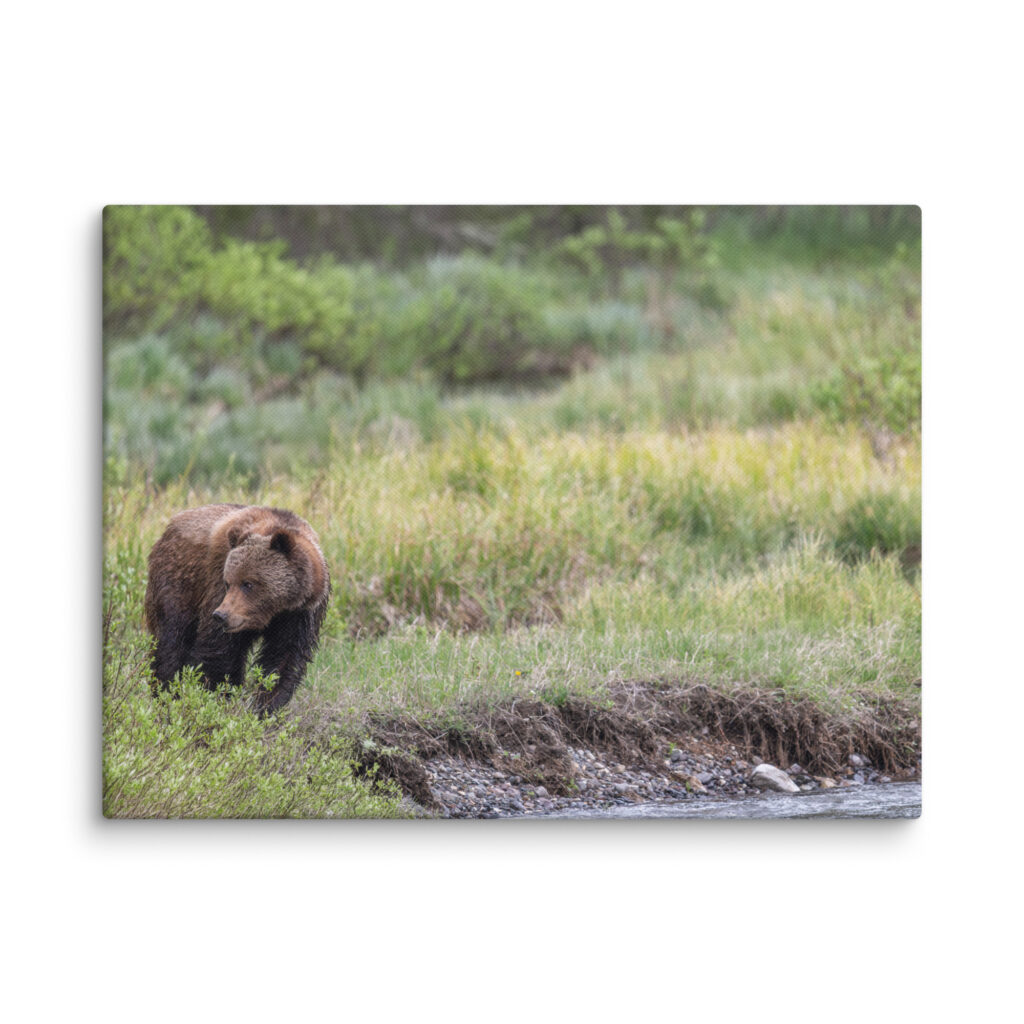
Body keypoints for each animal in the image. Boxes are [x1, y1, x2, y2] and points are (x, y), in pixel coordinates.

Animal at [144, 504, 331, 715]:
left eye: (248, 583)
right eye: (228, 582)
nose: (221, 615)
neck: (275, 610)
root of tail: (169, 527)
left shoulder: (300, 615)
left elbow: (283, 660)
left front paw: (266, 707)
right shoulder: (216, 585)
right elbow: (218, 652)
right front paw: (214, 699)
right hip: (179, 584)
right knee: (171, 641)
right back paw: (166, 694)